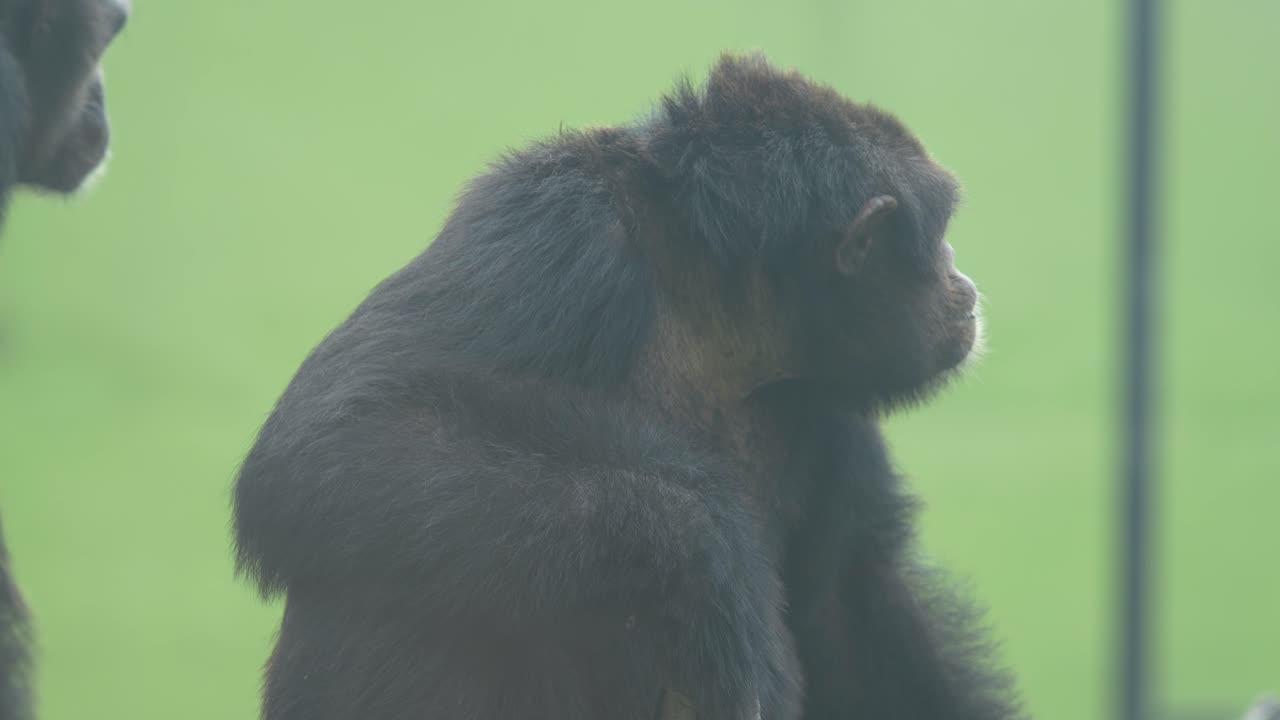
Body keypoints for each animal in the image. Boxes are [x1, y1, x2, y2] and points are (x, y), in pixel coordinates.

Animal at [233, 53, 1024, 720]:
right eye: (940, 235)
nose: (960, 277)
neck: (720, 320)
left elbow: (848, 608)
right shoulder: (552, 225)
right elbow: (335, 433)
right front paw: (711, 561)